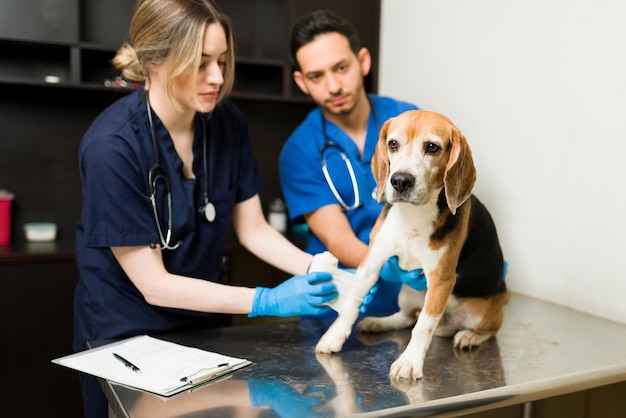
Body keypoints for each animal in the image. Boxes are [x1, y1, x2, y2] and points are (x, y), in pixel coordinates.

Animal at [314, 109, 504, 380]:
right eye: (393, 144)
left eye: (432, 147)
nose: (400, 181)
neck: (413, 215)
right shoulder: (372, 261)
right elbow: (352, 300)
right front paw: (334, 335)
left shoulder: (441, 279)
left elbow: (424, 325)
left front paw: (409, 361)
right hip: (407, 292)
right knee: (406, 317)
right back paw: (379, 322)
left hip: (482, 310)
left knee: (486, 330)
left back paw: (470, 336)